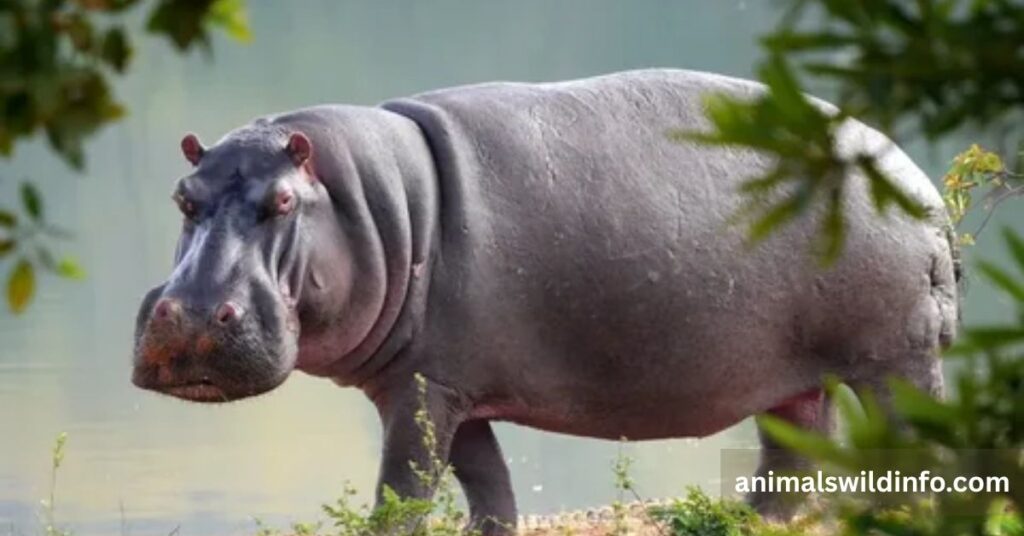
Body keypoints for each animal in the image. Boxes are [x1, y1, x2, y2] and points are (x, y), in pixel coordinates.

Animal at [132, 69, 959, 534]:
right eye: (181, 196)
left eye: (280, 202)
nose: (192, 317)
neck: (371, 203)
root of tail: (917, 181)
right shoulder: (442, 384)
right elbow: (486, 483)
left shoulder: (424, 390)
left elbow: (404, 486)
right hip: (794, 379)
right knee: (793, 453)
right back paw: (752, 522)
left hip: (896, 359)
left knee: (912, 443)